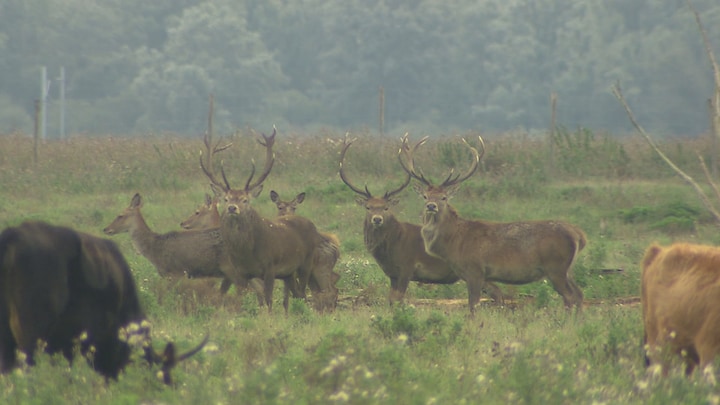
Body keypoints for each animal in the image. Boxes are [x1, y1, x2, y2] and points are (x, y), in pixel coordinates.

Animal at [202, 128, 334, 310]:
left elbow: (269, 300)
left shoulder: (270, 267)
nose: (232, 208)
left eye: (245, 200)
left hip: (306, 263)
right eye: (226, 199)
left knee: (302, 294)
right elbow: (251, 300)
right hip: (288, 273)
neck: (247, 253)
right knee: (290, 297)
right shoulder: (242, 272)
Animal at [338, 136, 462, 304]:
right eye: (368, 207)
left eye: (386, 207)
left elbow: (398, 300)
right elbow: (391, 300)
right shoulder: (393, 275)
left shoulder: (407, 268)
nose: (377, 219)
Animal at [396, 134, 588, 314]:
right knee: (579, 294)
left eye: (444, 197)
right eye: (425, 196)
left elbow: (473, 305)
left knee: (570, 296)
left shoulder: (475, 270)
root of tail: (579, 235)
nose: (431, 206)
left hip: (556, 267)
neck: (454, 244)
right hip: (568, 269)